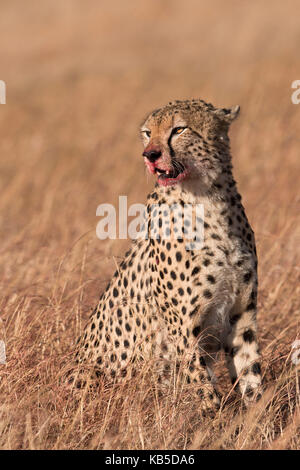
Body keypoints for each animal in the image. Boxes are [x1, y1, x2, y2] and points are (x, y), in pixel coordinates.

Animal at [72, 99, 262, 412]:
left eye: (179, 129)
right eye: (148, 133)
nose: (150, 155)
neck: (207, 199)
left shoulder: (241, 315)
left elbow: (251, 375)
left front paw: (258, 419)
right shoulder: (183, 328)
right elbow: (203, 387)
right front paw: (216, 420)